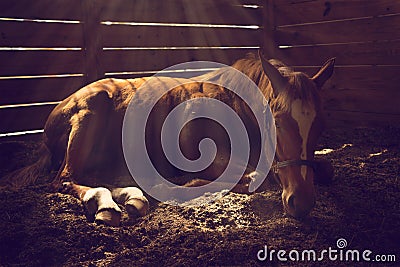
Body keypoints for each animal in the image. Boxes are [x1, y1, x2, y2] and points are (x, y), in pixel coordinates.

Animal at [3, 52, 334, 226]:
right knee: (65, 179)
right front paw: (175, 183)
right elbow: (248, 177)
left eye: (320, 124)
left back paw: (131, 199)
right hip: (89, 115)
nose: (302, 202)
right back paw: (108, 206)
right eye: (276, 121)